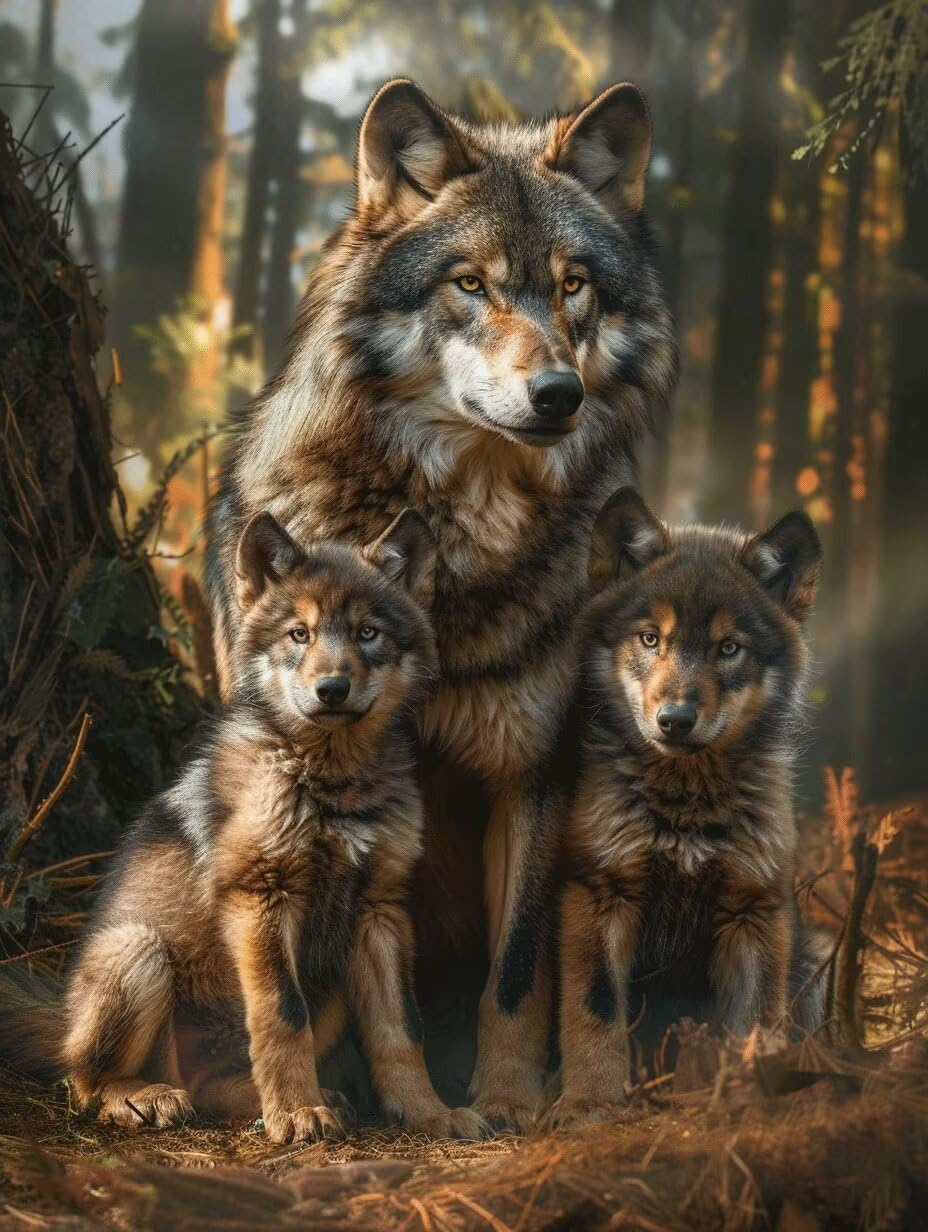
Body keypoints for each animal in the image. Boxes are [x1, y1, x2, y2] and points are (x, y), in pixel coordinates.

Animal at [1, 510, 486, 1143]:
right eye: (299, 635)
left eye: (367, 633)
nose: (331, 689)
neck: (328, 784)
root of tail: (60, 1012)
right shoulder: (260, 896)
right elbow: (282, 1016)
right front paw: (298, 1114)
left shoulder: (379, 911)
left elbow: (402, 1030)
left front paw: (430, 1113)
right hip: (139, 951)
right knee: (79, 1079)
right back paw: (140, 1098)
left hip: (328, 979)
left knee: (210, 1087)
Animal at [207, 79, 677, 1128]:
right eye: (470, 284)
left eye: (573, 285)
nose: (559, 393)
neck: (456, 547)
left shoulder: (532, 775)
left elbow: (516, 973)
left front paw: (501, 1097)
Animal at [550, 489, 827, 1127]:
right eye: (651, 639)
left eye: (729, 648)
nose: (674, 719)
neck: (685, 806)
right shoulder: (600, 893)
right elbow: (595, 1011)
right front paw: (590, 1105)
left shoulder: (753, 910)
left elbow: (758, 1023)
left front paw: (752, 1104)